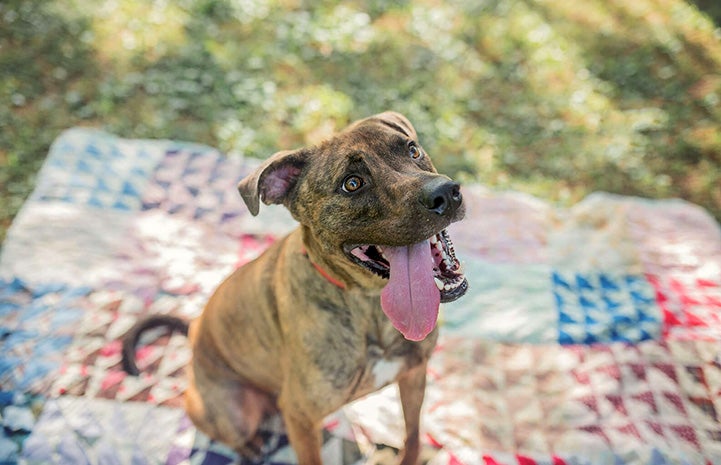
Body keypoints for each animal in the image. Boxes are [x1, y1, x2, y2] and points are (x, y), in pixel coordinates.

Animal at [121, 112, 470, 464]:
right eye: (352, 183)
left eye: (413, 150)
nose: (446, 193)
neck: (369, 304)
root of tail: (194, 330)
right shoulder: (301, 417)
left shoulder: (414, 375)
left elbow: (412, 435)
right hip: (233, 411)